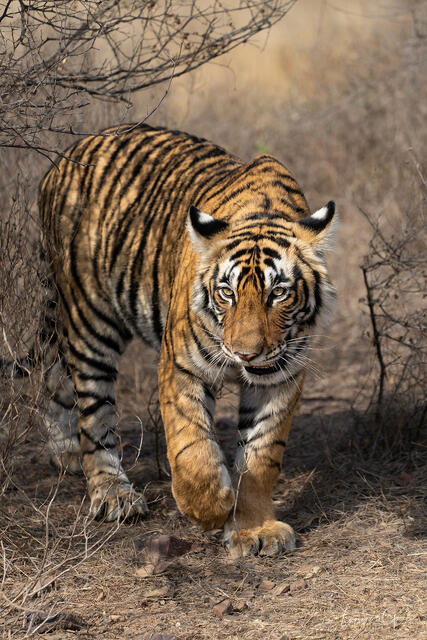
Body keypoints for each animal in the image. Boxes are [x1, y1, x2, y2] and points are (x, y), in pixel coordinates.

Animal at [2, 123, 337, 557]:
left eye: (278, 293)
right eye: (226, 293)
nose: (246, 354)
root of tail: (64, 159)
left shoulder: (282, 375)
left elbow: (262, 457)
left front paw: (254, 528)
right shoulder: (180, 364)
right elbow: (191, 446)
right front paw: (212, 509)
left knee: (55, 377)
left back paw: (66, 453)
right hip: (89, 318)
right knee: (94, 413)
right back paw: (113, 494)